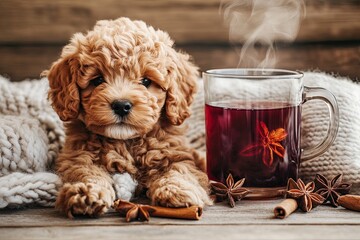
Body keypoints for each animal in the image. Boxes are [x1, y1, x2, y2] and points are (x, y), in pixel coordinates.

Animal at [42, 17, 212, 218]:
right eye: (97, 80)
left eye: (146, 81)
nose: (121, 105)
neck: (126, 142)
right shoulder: (77, 155)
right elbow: (84, 170)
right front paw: (86, 191)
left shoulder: (174, 153)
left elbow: (180, 169)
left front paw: (177, 190)